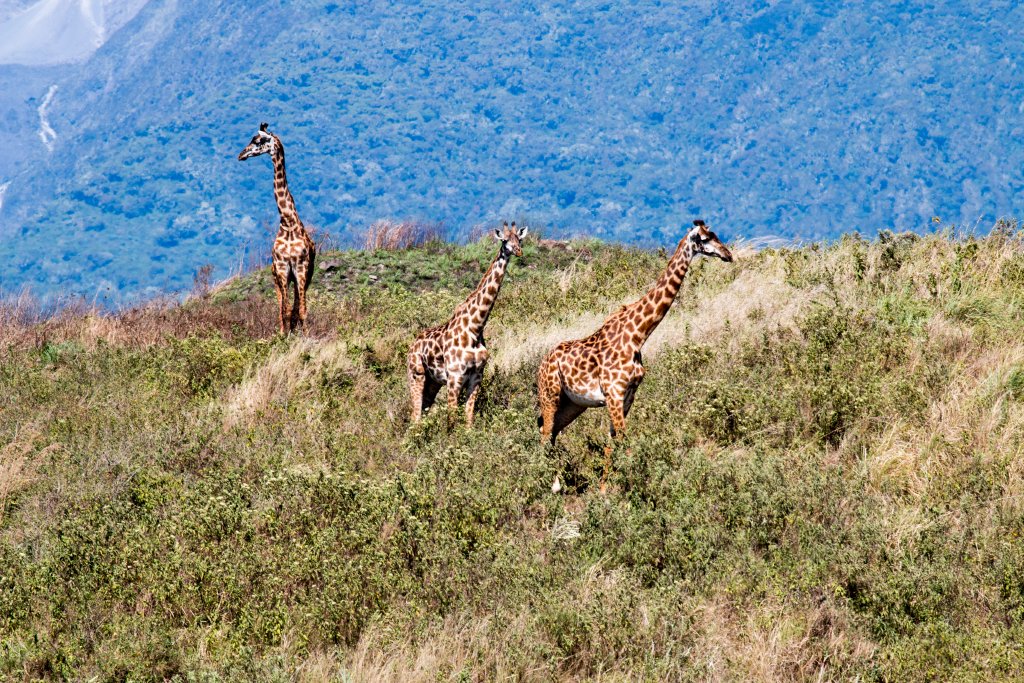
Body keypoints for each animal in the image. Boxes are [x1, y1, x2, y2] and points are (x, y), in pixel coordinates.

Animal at [238, 122, 316, 335]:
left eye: (258, 140)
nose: (241, 155)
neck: (288, 221)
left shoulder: (300, 267)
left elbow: (302, 310)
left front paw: (304, 336)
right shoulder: (281, 267)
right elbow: (286, 310)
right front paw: (285, 336)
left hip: (302, 275)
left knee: (297, 305)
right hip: (278, 277)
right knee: (282, 307)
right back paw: (283, 331)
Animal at [407, 221, 528, 426]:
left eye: (519, 239)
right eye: (504, 240)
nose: (518, 251)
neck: (475, 327)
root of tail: (411, 346)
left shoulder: (476, 377)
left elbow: (469, 419)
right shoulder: (455, 377)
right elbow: (452, 420)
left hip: (433, 382)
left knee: (422, 412)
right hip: (417, 375)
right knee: (415, 416)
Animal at [537, 220, 733, 492]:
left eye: (716, 235)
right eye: (705, 238)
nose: (728, 255)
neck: (639, 334)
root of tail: (541, 364)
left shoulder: (627, 395)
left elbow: (613, 443)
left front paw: (605, 490)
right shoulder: (614, 394)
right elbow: (624, 441)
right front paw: (631, 487)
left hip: (573, 403)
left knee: (552, 431)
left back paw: (555, 483)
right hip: (550, 394)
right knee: (545, 432)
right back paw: (547, 485)